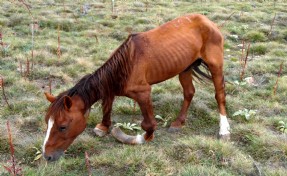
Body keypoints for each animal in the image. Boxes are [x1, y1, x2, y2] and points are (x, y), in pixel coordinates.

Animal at [43, 13, 232, 162]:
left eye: (62, 126)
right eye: (47, 122)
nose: (47, 156)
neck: (126, 65)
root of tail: (207, 21)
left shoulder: (143, 93)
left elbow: (148, 125)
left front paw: (137, 138)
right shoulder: (110, 88)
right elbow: (107, 107)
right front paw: (103, 127)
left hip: (215, 65)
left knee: (219, 95)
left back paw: (224, 129)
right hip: (184, 68)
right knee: (189, 93)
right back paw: (178, 122)